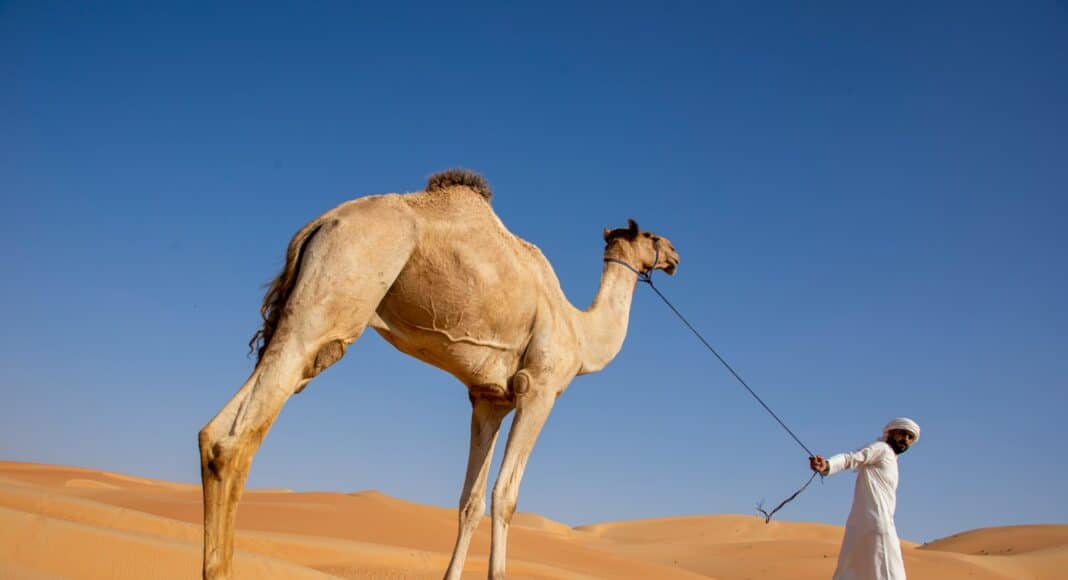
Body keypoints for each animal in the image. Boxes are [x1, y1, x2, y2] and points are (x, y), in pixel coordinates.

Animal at [198, 169, 680, 579]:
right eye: (653, 236)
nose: (675, 255)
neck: (581, 334)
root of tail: (319, 223)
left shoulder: (489, 399)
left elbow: (470, 501)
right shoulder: (539, 389)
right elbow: (505, 496)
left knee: (216, 431)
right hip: (336, 294)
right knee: (236, 438)